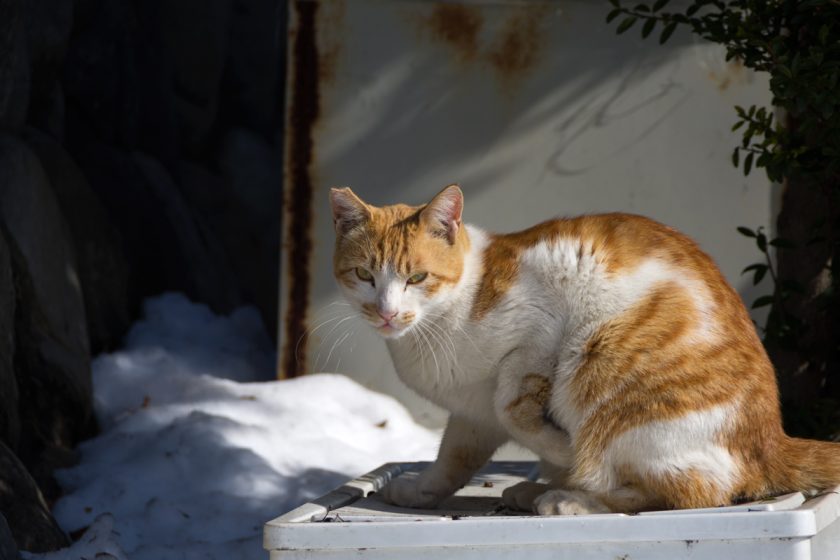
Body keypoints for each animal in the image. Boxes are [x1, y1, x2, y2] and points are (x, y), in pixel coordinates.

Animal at [328, 185, 840, 516]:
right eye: (364, 275)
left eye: (417, 278)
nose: (386, 311)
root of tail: (771, 439)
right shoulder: (472, 414)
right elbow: (453, 459)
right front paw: (421, 492)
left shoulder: (538, 333)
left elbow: (515, 407)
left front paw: (564, 458)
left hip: (604, 375)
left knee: (692, 490)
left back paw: (569, 497)